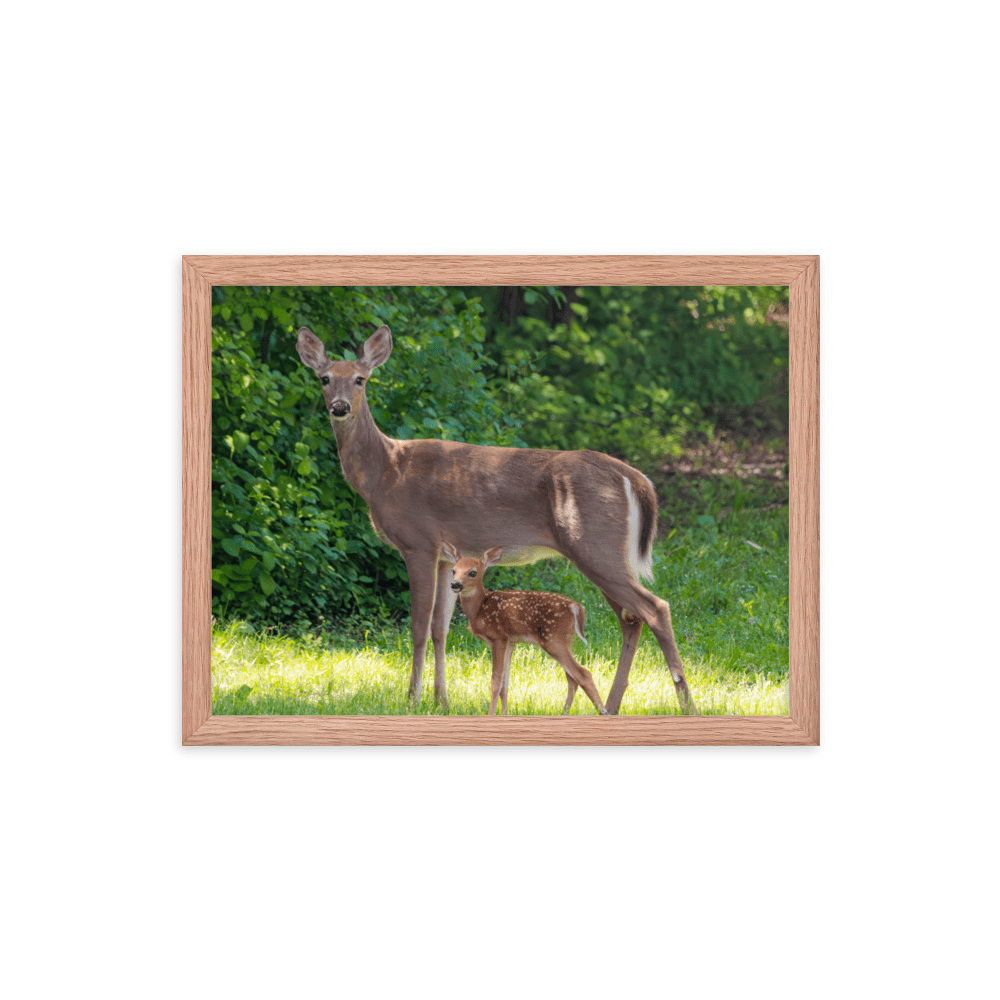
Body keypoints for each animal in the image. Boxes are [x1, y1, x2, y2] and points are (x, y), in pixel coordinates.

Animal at [442, 540, 604, 720]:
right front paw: (504, 715)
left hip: (553, 638)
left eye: (472, 572)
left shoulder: (498, 637)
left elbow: (495, 682)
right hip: (565, 640)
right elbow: (505, 685)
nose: (455, 584)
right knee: (572, 678)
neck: (480, 608)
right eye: (454, 570)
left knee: (583, 674)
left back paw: (604, 711)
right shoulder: (511, 641)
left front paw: (491, 715)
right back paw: (565, 713)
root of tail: (577, 607)